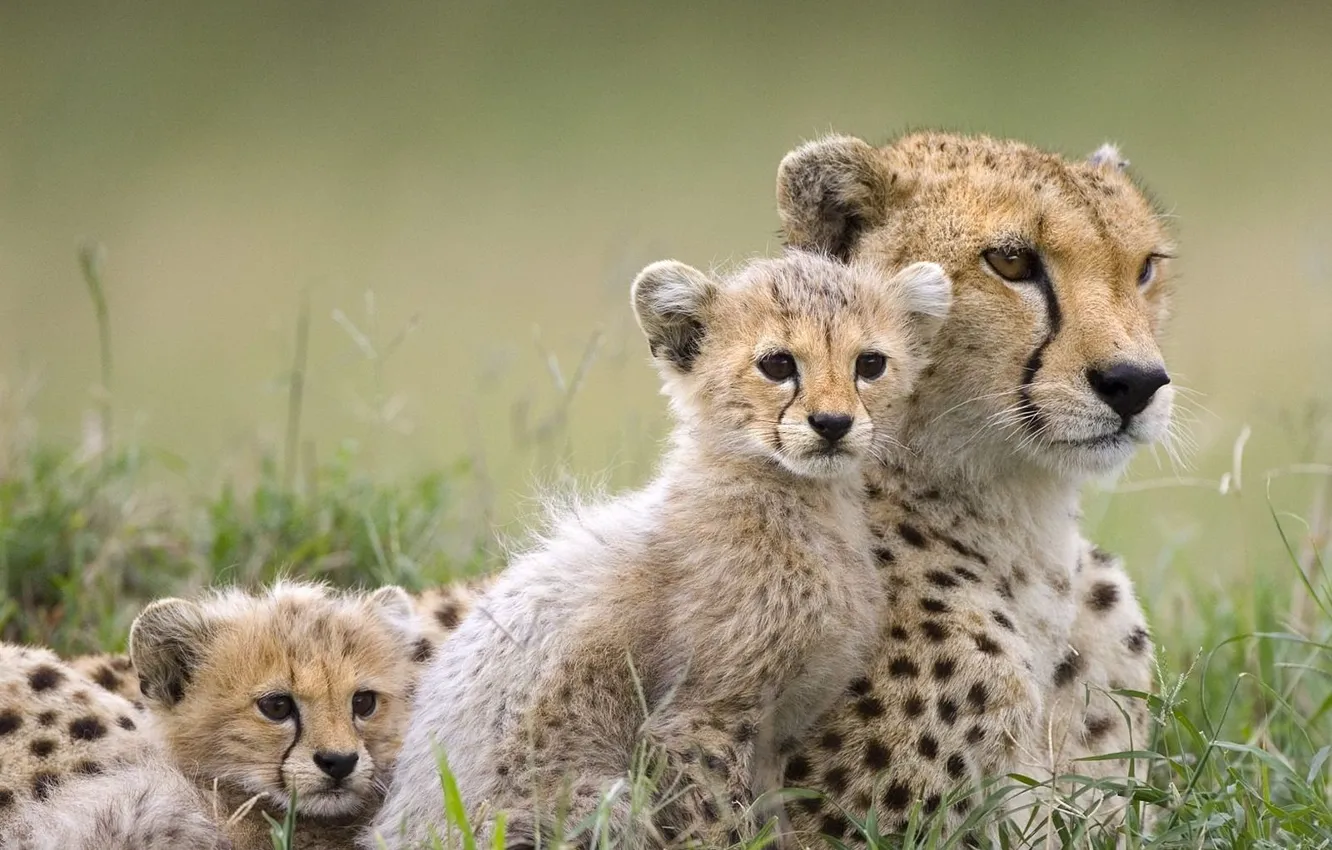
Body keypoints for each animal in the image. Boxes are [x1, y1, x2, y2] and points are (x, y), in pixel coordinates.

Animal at [366, 251, 954, 850]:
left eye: (871, 363)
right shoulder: (696, 721)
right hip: (595, 798)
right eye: (777, 364)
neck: (800, 501)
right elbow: (723, 826)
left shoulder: (773, 735)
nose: (833, 424)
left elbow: (771, 822)